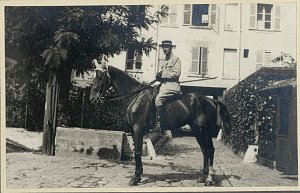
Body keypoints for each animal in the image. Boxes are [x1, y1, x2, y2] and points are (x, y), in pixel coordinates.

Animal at [89, 61, 230, 186]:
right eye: (94, 75)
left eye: (100, 76)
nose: (92, 98)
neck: (135, 96)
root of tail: (211, 100)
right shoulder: (134, 131)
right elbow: (136, 151)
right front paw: (139, 175)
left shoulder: (138, 129)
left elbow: (138, 152)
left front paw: (136, 177)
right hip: (197, 130)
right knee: (204, 150)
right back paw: (202, 177)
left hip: (204, 130)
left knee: (210, 150)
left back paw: (209, 179)